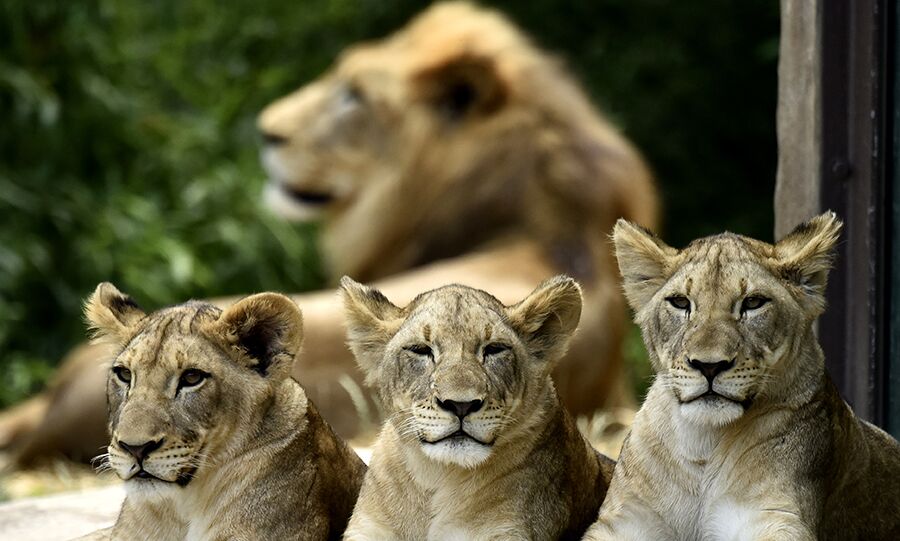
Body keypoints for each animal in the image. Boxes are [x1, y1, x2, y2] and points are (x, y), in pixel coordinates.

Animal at [584, 213, 900, 541]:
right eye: (681, 303)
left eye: (753, 303)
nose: (709, 366)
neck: (703, 441)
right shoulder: (627, 519)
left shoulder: (775, 517)